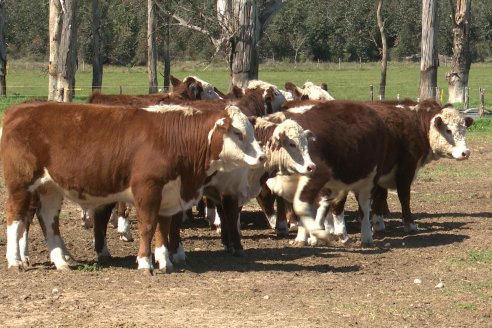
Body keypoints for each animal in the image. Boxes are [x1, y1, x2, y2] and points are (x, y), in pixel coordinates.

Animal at [0, 100, 266, 272]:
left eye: (251, 131)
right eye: (238, 133)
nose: (263, 157)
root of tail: (19, 109)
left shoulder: (169, 194)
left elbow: (163, 228)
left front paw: (165, 261)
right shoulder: (147, 190)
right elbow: (148, 226)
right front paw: (145, 262)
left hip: (50, 188)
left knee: (48, 220)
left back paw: (61, 261)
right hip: (21, 184)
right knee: (15, 217)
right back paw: (15, 260)